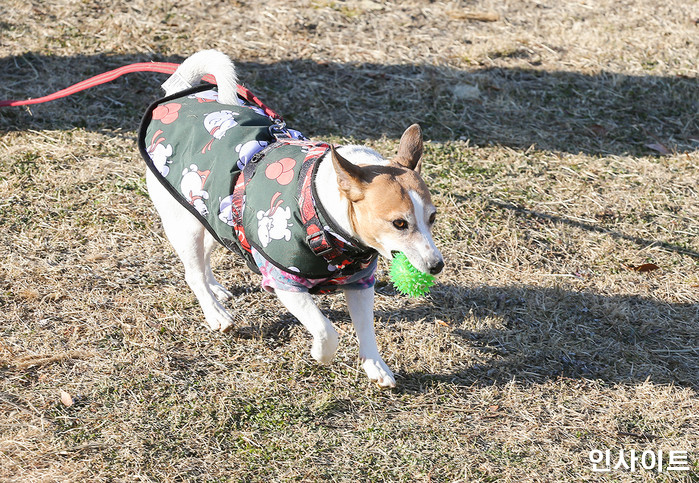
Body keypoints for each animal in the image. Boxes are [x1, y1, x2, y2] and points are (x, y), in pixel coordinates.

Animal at [140, 50, 442, 390]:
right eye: (399, 223)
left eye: (432, 217)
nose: (437, 265)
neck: (322, 214)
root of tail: (178, 93)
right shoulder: (285, 283)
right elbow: (325, 330)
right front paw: (321, 354)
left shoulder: (360, 282)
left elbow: (366, 329)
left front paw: (375, 367)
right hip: (185, 221)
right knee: (192, 272)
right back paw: (216, 313)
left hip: (212, 216)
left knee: (205, 257)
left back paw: (215, 289)